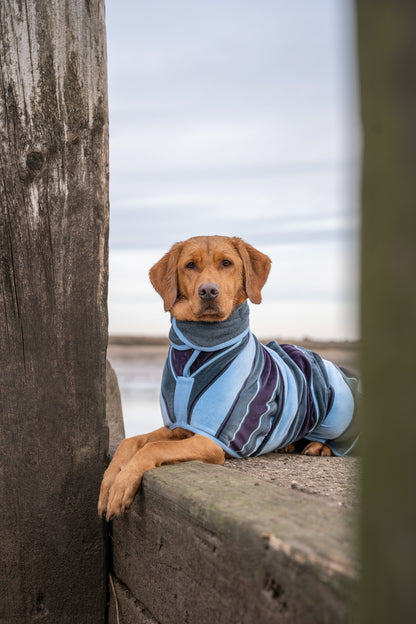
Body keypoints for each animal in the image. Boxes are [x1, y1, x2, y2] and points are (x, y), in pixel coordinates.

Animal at [99, 236, 360, 520]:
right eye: (190, 265)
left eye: (227, 263)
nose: (208, 291)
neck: (198, 350)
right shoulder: (181, 426)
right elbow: (131, 441)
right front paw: (109, 482)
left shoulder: (215, 439)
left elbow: (154, 447)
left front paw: (122, 485)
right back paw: (287, 445)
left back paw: (319, 447)